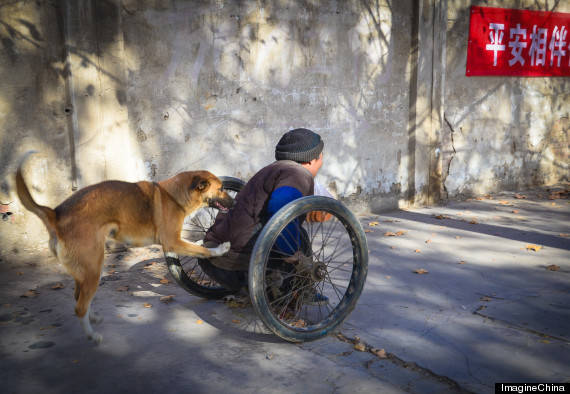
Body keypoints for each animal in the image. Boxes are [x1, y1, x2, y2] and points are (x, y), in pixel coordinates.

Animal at [16, 152, 232, 344]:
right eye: (221, 188)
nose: (234, 201)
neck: (174, 195)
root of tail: (56, 214)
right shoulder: (172, 242)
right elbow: (202, 250)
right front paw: (220, 249)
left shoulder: (174, 243)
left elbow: (196, 246)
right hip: (94, 268)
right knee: (79, 306)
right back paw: (92, 335)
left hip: (83, 271)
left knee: (78, 298)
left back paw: (92, 317)